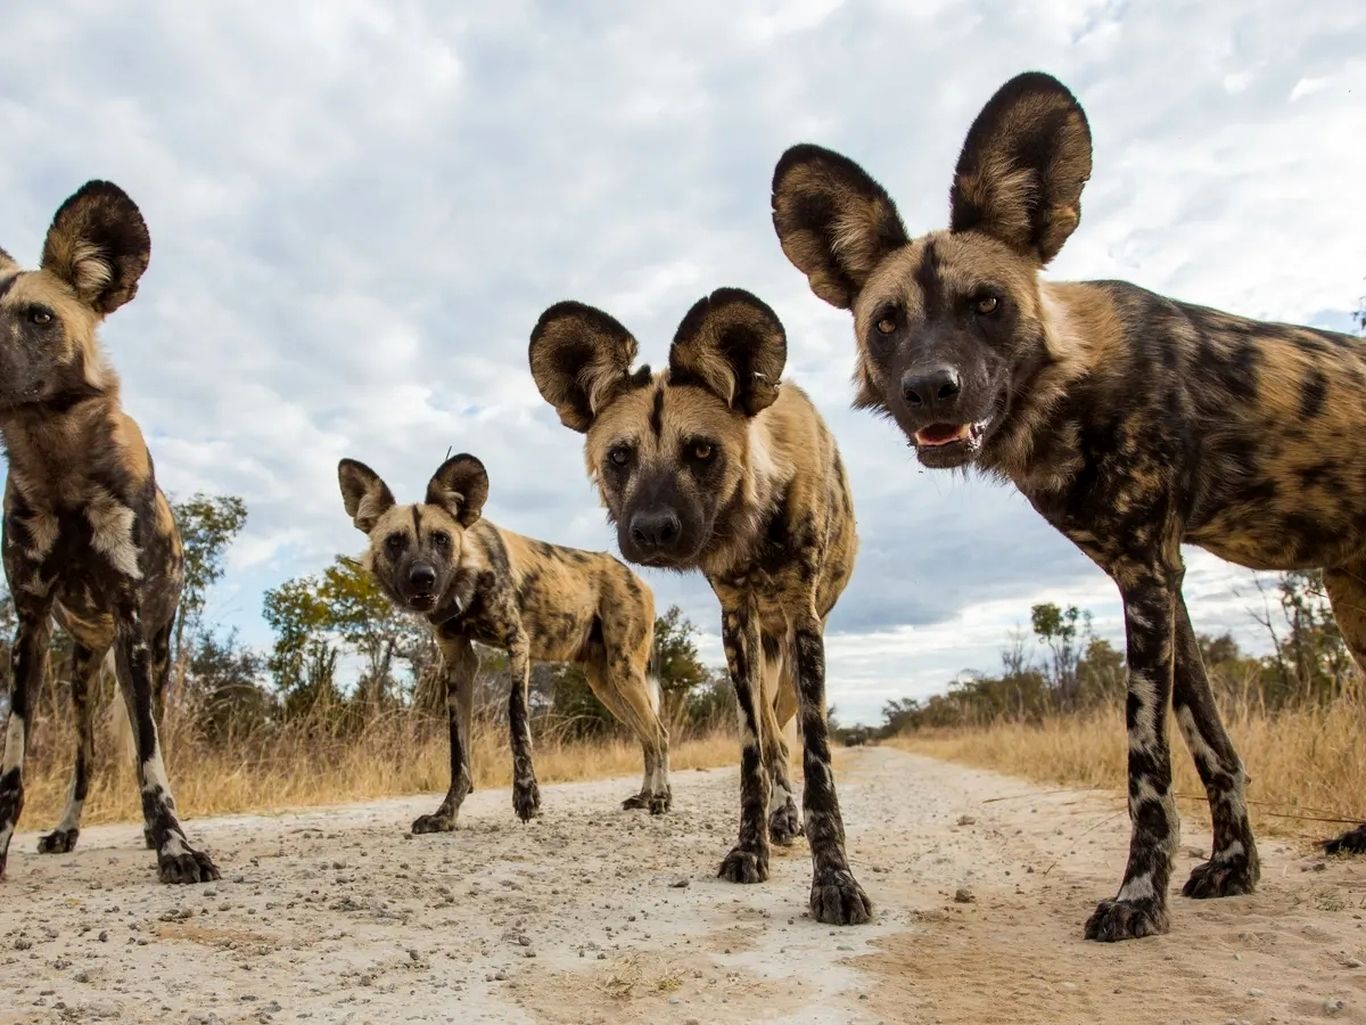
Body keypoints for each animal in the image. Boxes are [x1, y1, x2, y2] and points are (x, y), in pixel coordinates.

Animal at [0, 180, 218, 885]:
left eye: (38, 318)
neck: (61, 470)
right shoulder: (29, 627)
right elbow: (13, 768)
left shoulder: (131, 621)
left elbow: (151, 760)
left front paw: (174, 846)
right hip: (80, 675)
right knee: (85, 759)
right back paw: (67, 831)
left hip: (151, 656)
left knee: (143, 742)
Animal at [336, 453, 666, 830]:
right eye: (395, 542)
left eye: (441, 539)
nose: (423, 578)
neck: (469, 577)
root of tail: (637, 577)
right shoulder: (459, 664)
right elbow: (458, 755)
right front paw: (445, 815)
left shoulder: (517, 645)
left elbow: (516, 720)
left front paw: (526, 796)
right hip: (604, 683)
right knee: (647, 737)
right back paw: (645, 797)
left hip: (625, 672)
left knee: (659, 734)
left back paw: (660, 798)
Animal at [527, 287, 868, 923]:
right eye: (619, 457)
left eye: (703, 451)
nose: (653, 530)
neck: (752, 523)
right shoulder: (736, 622)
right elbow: (753, 756)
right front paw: (750, 848)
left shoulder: (803, 620)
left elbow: (816, 762)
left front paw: (834, 879)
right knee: (772, 738)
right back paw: (780, 819)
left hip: (790, 654)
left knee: (787, 734)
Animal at [770, 70, 1366, 940]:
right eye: (887, 322)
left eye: (987, 303)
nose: (930, 389)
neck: (1068, 387)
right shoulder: (1161, 582)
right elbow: (1211, 744)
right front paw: (1233, 866)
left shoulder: (1147, 576)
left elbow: (1149, 764)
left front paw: (1138, 898)